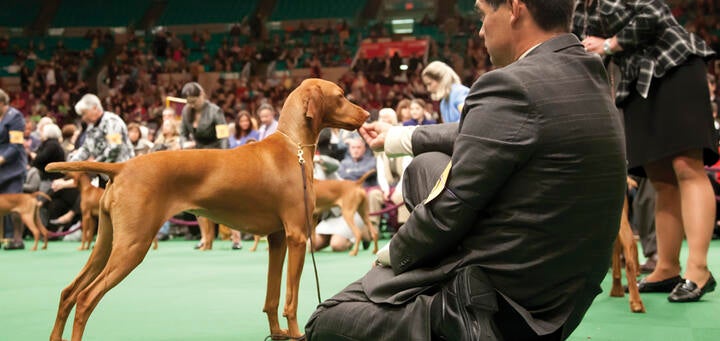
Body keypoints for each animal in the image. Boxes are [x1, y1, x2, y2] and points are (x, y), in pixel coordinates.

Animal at [46, 77, 366, 340]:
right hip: (132, 245)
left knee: (68, 292)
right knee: (86, 298)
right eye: (341, 95)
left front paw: (278, 334)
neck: (293, 147)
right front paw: (297, 334)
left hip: (106, 242)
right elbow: (291, 299)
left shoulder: (277, 239)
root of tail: (121, 167)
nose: (366, 115)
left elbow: (272, 298)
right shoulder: (297, 235)